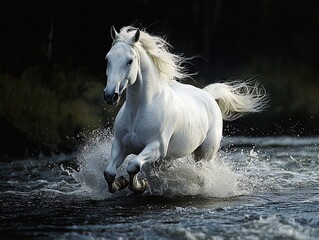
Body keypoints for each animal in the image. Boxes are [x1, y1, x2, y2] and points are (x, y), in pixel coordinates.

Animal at [103, 26, 268, 194]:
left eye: (130, 61)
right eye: (107, 59)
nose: (110, 96)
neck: (139, 110)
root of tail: (208, 95)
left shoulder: (156, 147)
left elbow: (133, 166)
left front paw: (139, 185)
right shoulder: (120, 145)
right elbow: (109, 172)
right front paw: (121, 183)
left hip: (204, 154)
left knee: (201, 172)